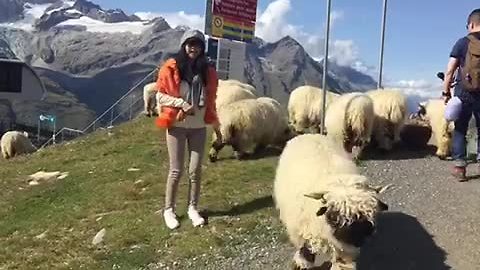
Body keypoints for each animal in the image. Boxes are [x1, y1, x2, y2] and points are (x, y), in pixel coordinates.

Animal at [274, 135, 390, 270]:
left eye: (371, 214)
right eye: (334, 215)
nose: (359, 239)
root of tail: (309, 135)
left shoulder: (344, 250)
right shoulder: (304, 233)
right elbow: (306, 252)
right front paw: (301, 263)